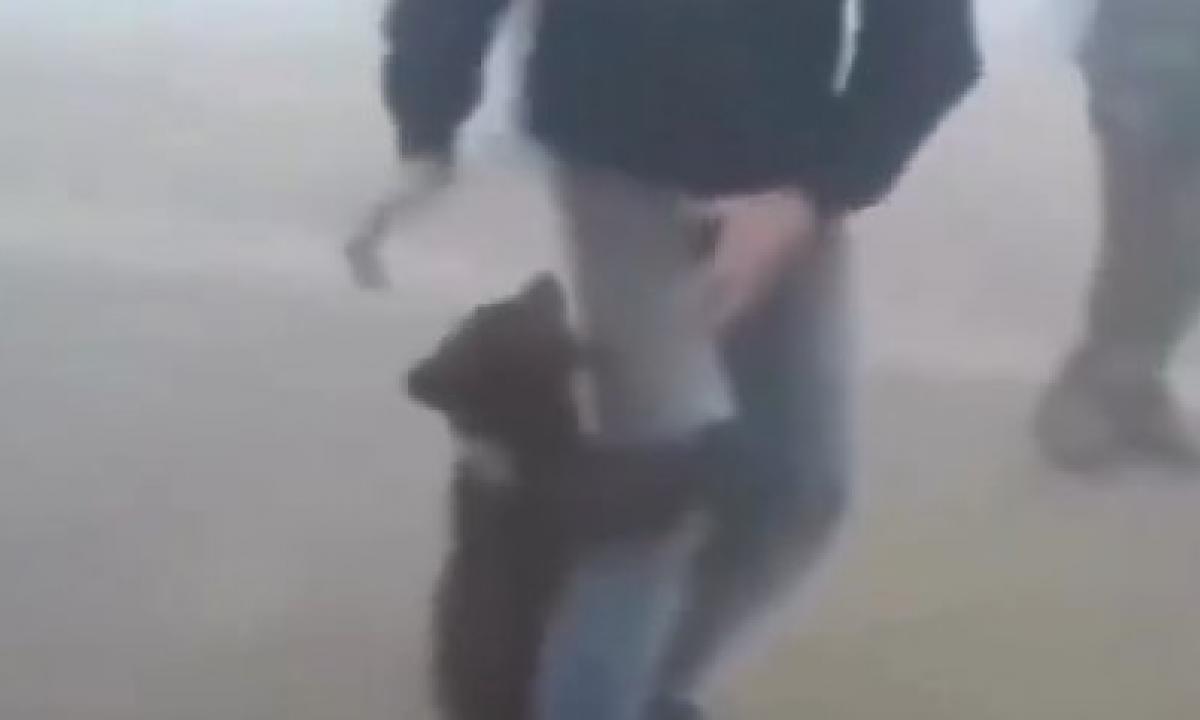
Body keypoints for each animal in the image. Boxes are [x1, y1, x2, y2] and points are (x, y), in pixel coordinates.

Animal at [407, 273, 716, 720]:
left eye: (486, 309)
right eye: (499, 310)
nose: (543, 277)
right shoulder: (559, 492)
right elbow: (627, 491)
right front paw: (718, 448)